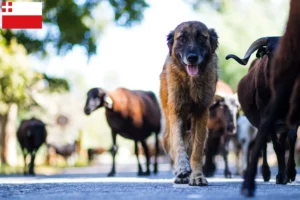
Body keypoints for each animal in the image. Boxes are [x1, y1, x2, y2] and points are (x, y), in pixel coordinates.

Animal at [159, 20, 218, 186]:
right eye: (182, 39)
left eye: (201, 37)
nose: (192, 57)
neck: (191, 82)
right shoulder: (176, 112)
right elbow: (178, 145)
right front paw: (182, 168)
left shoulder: (201, 114)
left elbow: (196, 151)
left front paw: (197, 176)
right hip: (167, 132)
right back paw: (181, 174)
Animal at [239, 0, 300, 197]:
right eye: (269, 50)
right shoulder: (266, 115)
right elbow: (276, 146)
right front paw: (280, 176)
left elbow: (290, 140)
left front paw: (290, 173)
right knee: (264, 144)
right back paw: (266, 173)